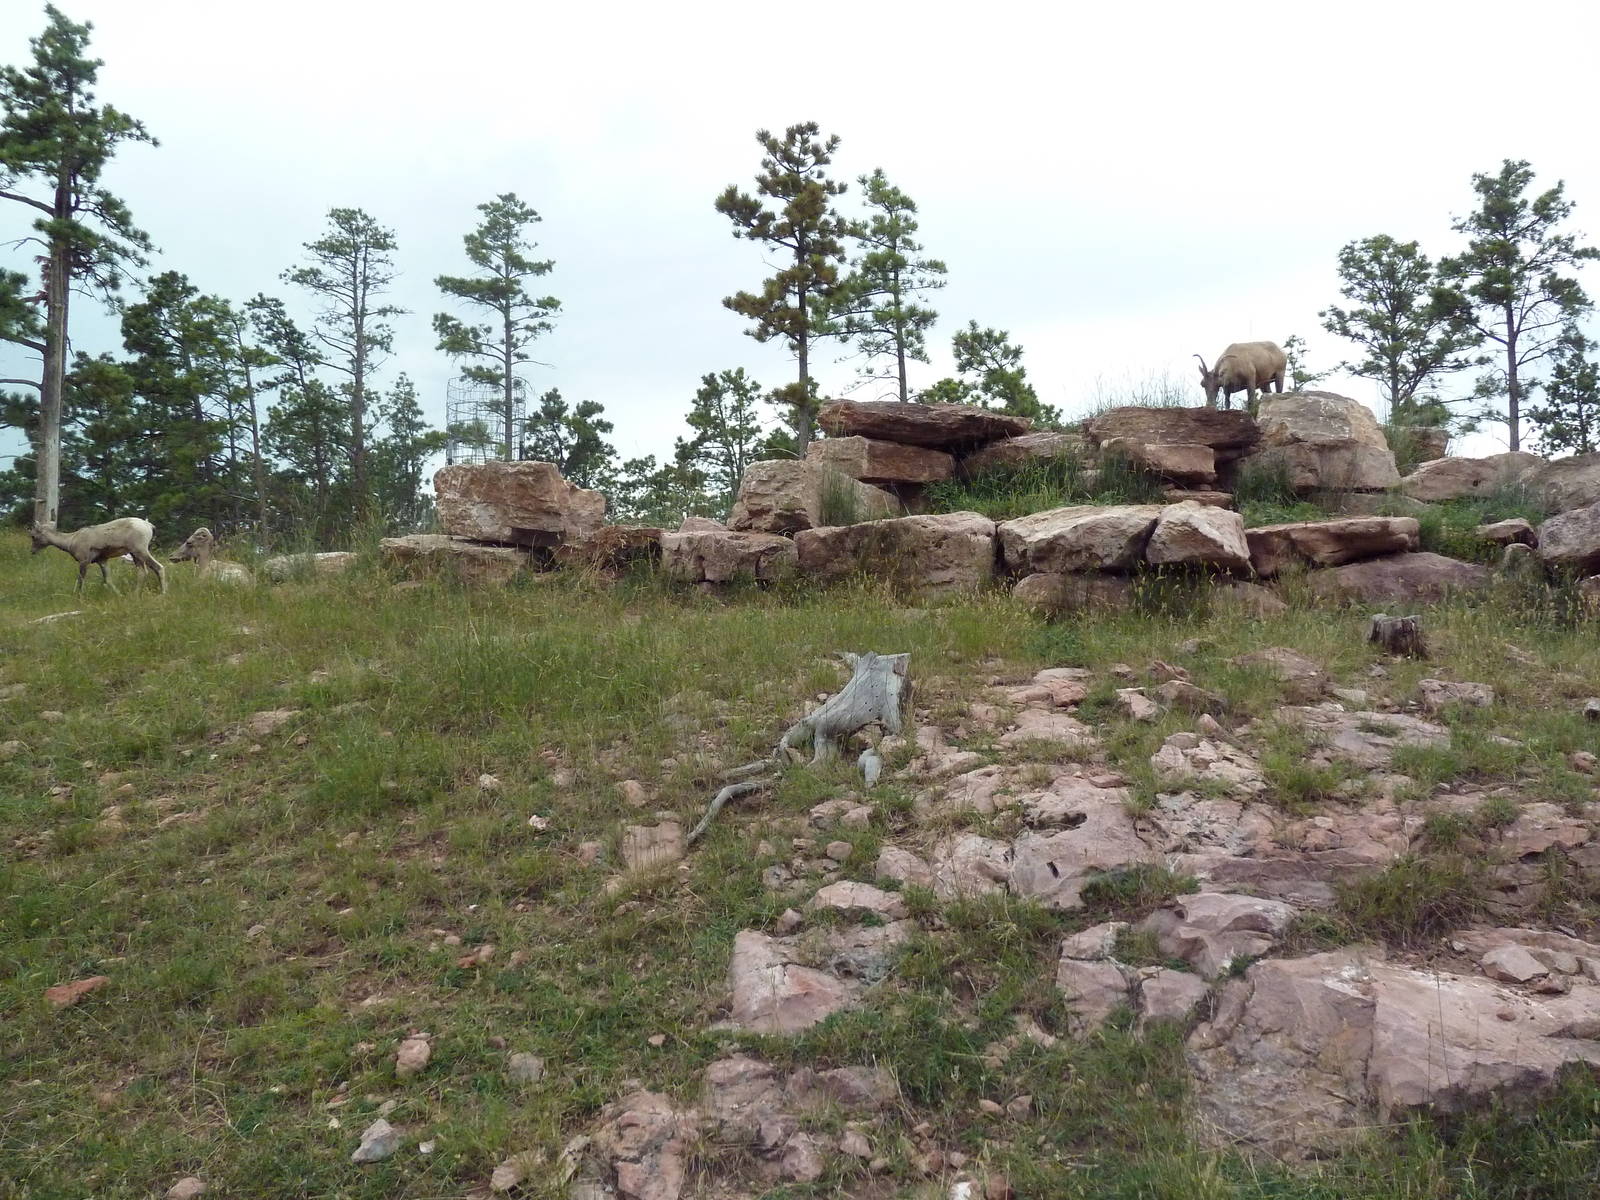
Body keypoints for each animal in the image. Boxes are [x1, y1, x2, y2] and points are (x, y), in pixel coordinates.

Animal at [30, 517, 167, 594]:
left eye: (33, 536)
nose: (32, 551)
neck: (70, 541)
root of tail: (149, 526)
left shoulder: (84, 561)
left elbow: (81, 580)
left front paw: (79, 596)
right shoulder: (102, 560)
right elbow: (108, 580)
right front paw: (119, 595)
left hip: (141, 550)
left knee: (159, 567)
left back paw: (163, 594)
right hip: (135, 554)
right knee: (142, 572)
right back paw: (135, 595)